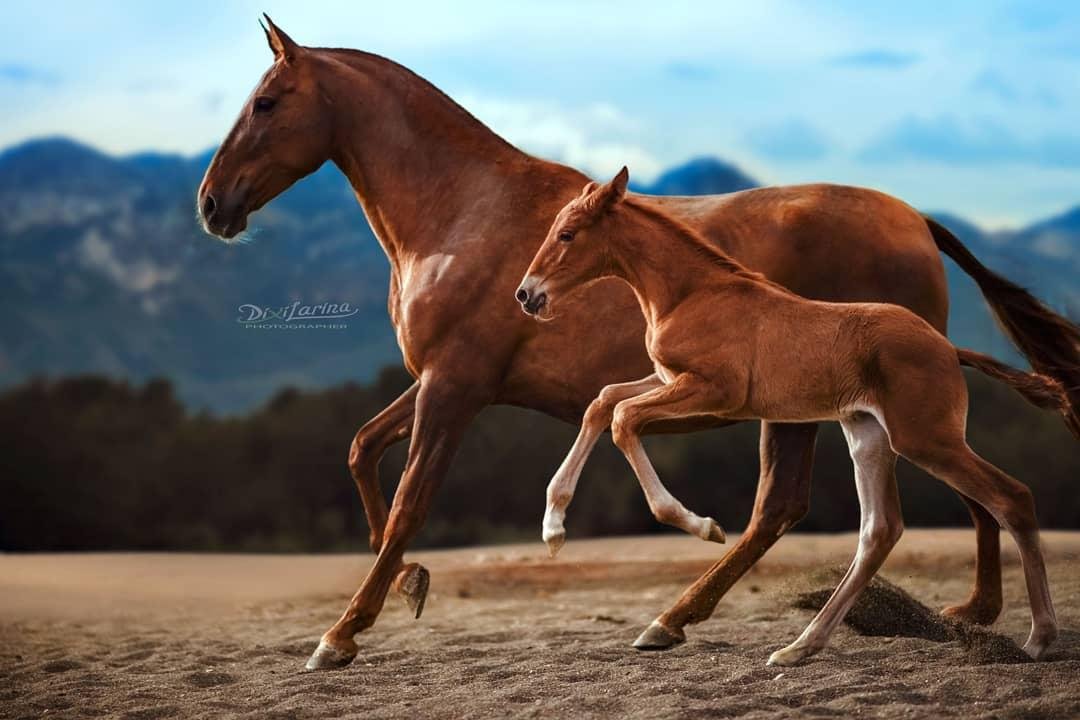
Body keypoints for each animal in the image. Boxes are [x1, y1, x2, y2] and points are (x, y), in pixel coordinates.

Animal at [517, 167, 1077, 665]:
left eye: (567, 234)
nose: (527, 294)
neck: (691, 294)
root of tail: (949, 347)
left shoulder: (714, 390)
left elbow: (623, 419)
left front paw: (701, 525)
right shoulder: (669, 378)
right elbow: (604, 401)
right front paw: (553, 529)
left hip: (926, 440)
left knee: (1011, 498)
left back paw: (1039, 639)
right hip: (868, 436)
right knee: (880, 530)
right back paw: (799, 647)